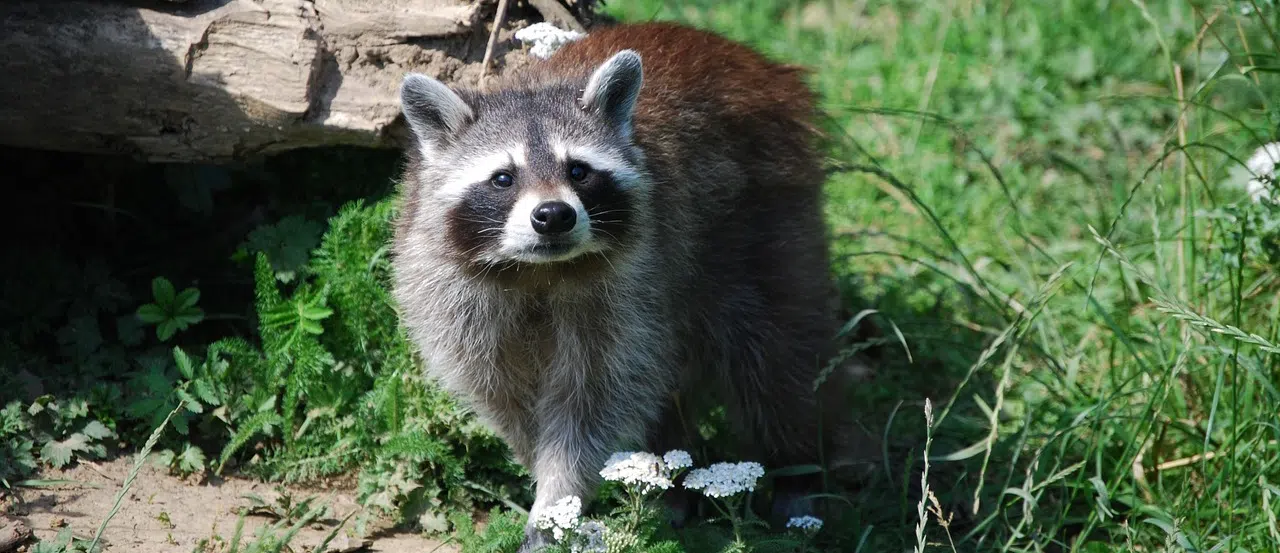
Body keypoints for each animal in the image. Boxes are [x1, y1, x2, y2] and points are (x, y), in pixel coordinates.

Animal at [391, 21, 849, 550]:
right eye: (503, 178)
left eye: (578, 170)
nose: (553, 215)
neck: (539, 269)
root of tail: (753, 60)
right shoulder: (449, 288)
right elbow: (506, 395)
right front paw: (544, 479)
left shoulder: (631, 280)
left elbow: (594, 398)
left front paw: (557, 499)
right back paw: (672, 478)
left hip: (767, 218)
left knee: (779, 359)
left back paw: (798, 471)